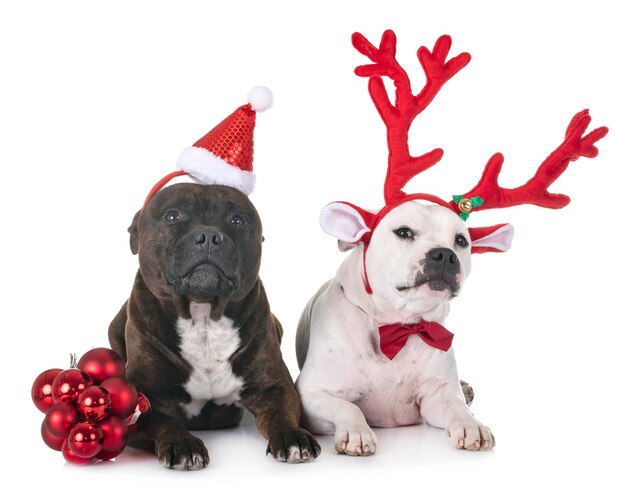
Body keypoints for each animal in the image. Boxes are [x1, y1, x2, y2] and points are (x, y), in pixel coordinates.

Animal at [107, 183, 320, 468]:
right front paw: (182, 444)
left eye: (237, 220)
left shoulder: (275, 386)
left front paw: (292, 436)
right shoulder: (142, 400)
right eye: (172, 216)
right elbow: (163, 421)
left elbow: (280, 414)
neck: (204, 318)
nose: (209, 235)